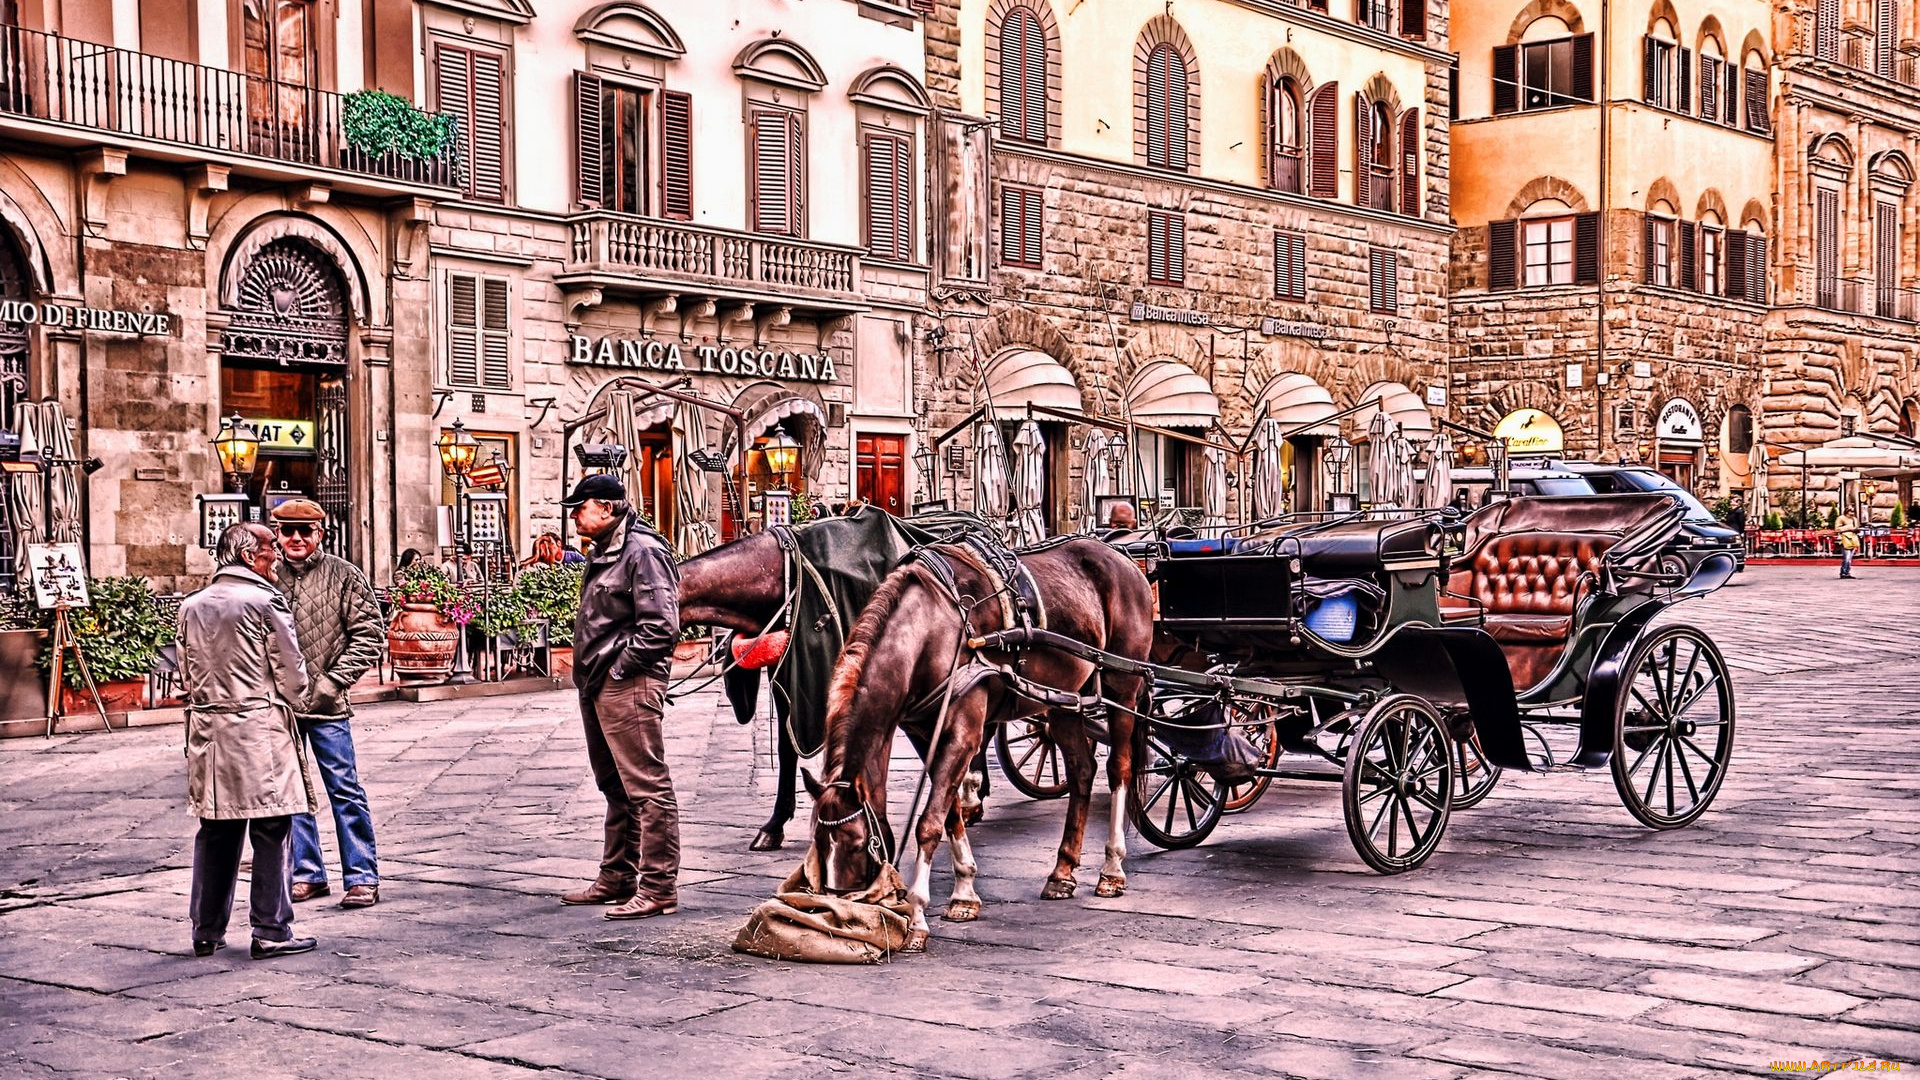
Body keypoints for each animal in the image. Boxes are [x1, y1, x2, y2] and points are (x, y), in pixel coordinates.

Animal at [802, 534, 1144, 945]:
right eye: (819, 843)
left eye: (856, 844)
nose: (838, 909)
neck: (932, 629)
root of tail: (1123, 557)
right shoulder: (923, 733)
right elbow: (949, 814)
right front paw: (964, 892)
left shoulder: (964, 731)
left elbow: (929, 822)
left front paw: (918, 916)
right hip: (1064, 698)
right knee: (1082, 770)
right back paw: (1062, 873)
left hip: (1123, 685)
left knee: (1119, 768)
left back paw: (1112, 869)